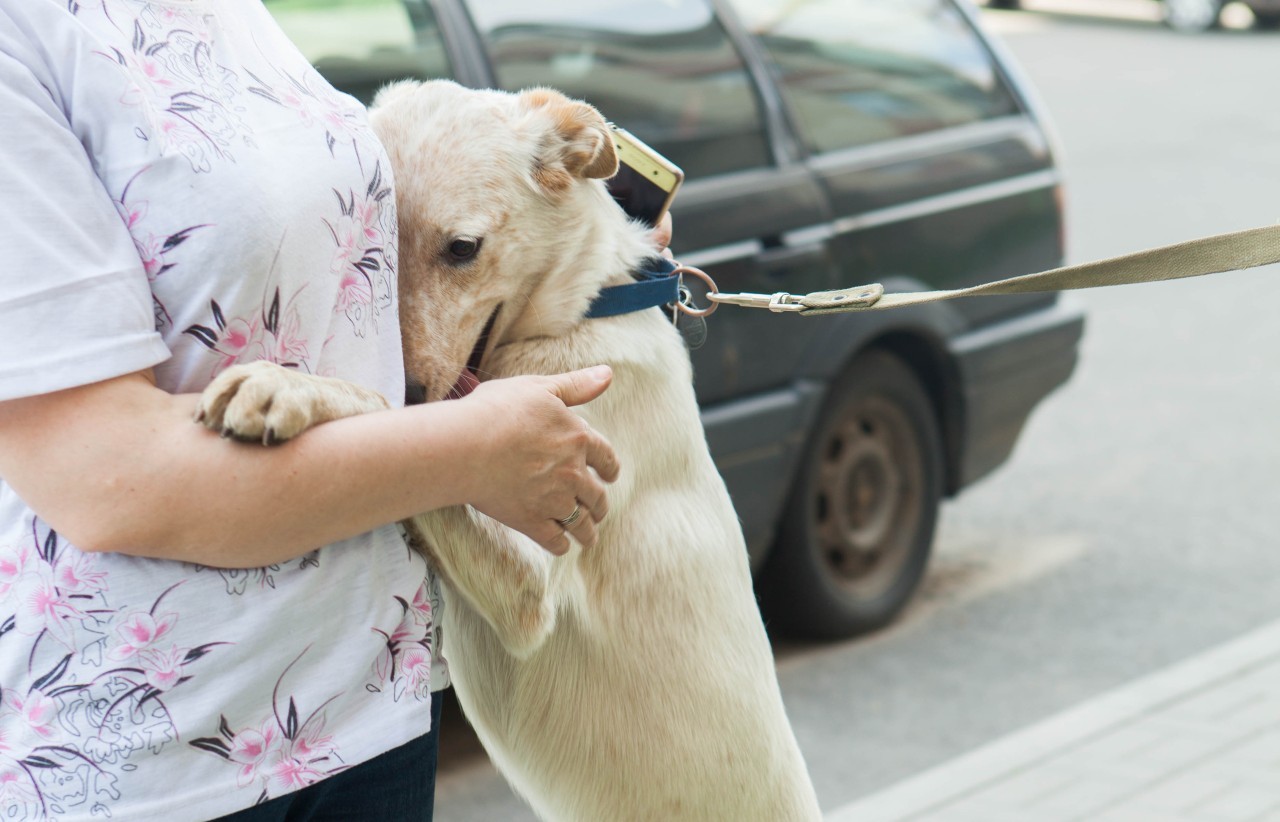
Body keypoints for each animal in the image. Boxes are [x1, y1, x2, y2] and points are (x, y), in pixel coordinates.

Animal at [199, 78, 819, 819]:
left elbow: (388, 414)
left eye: (463, 248)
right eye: (377, 247)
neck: (579, 314)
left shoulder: (530, 589)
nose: (415, 383)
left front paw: (287, 388)